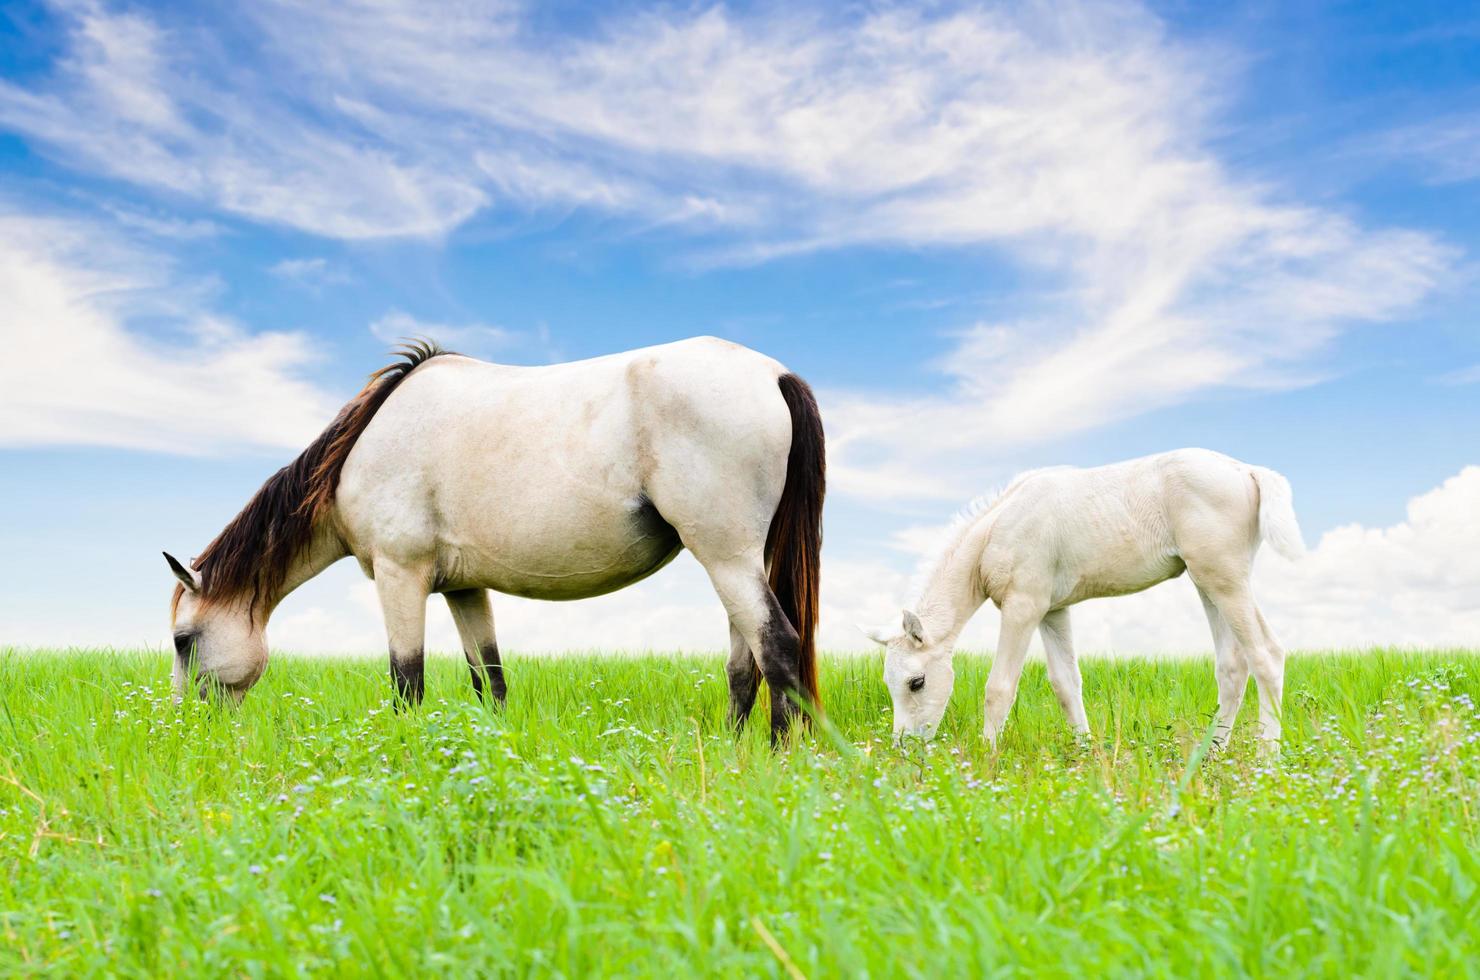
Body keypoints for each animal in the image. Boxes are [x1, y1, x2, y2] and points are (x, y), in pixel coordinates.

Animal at [167, 337, 828, 746]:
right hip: (736, 561)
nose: (185, 728)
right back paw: (730, 751)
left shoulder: (400, 575)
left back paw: (773, 760)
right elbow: (491, 681)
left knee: (778, 648)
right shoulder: (463, 589)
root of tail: (774, 374)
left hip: (727, 557)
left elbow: (407, 684)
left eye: (182, 641)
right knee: (744, 665)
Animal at [864, 450, 1308, 754]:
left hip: (1226, 579)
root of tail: (1246, 470)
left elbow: (999, 687)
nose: (904, 747)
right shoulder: (1052, 610)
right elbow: (1066, 683)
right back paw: (1211, 754)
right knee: (1233, 666)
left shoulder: (1023, 607)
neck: (995, 532)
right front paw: (1083, 753)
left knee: (1266, 654)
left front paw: (986, 759)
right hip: (1207, 581)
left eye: (917, 682)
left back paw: (1267, 756)